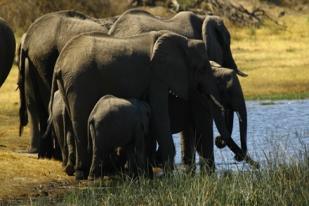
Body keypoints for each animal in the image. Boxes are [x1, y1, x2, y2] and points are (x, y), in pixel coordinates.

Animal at [48, 29, 244, 179]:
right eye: (202, 68)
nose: (237, 157)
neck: (182, 41)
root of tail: (59, 63)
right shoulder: (158, 76)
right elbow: (160, 114)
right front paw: (169, 174)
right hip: (80, 80)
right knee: (79, 120)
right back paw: (83, 173)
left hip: (69, 84)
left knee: (71, 121)